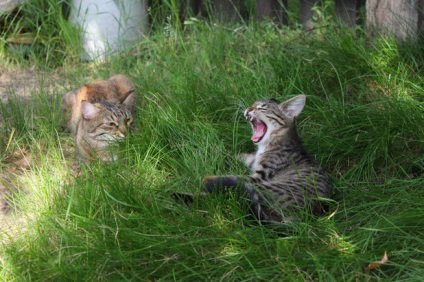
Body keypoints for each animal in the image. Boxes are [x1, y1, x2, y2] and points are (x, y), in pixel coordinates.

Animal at [174, 96, 330, 224]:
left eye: (262, 107)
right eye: (253, 104)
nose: (248, 109)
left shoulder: (258, 176)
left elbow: (234, 176)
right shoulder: (251, 160)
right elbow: (234, 155)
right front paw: (209, 153)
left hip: (257, 189)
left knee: (220, 196)